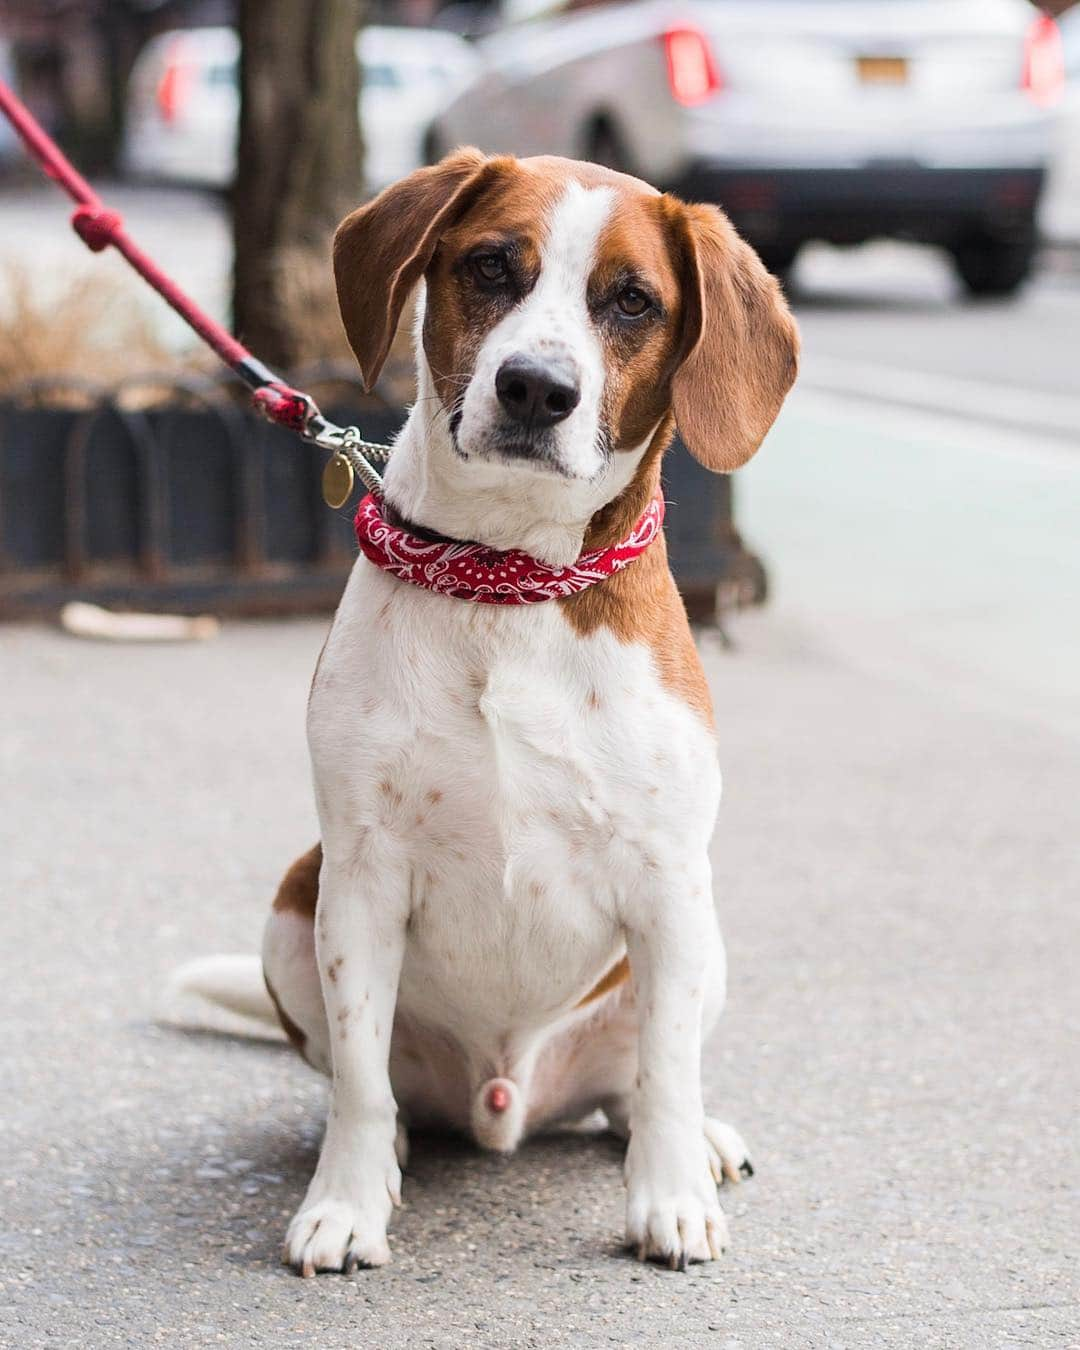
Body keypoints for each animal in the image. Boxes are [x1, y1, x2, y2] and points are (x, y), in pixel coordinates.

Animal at [176, 150, 799, 1274]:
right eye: (491, 266)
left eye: (632, 301)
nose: (536, 388)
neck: (508, 582)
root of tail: (508, 1097)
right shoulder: (361, 877)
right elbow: (361, 1076)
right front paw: (345, 1202)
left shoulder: (669, 881)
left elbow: (667, 1069)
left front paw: (671, 1194)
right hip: (298, 896)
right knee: (373, 1086)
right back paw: (385, 1154)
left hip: (705, 936)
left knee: (633, 1085)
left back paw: (689, 1141)